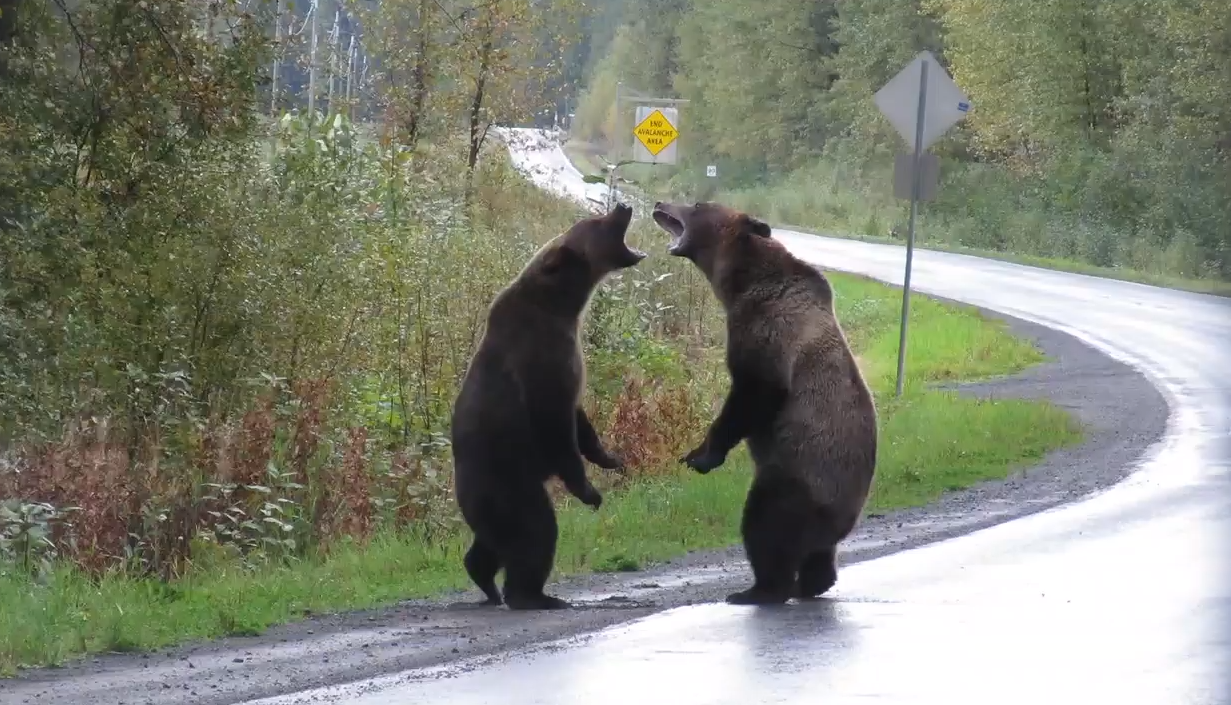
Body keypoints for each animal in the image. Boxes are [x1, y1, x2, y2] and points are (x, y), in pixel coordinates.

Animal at [450, 200, 645, 607]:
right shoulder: (544, 361)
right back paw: (534, 595)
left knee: (492, 544)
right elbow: (557, 427)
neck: (563, 306)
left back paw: (486, 581)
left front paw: (611, 458)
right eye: (595, 222)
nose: (623, 205)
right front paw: (590, 492)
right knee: (535, 530)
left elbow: (580, 418)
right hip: (508, 480)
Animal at [649, 199, 881, 605]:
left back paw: (758, 589)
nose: (661, 203)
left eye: (697, 205)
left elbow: (754, 393)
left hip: (799, 476)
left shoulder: (768, 329)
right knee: (818, 553)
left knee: (766, 523)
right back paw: (812, 583)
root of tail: (845, 516)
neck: (740, 283)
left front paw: (700, 455)